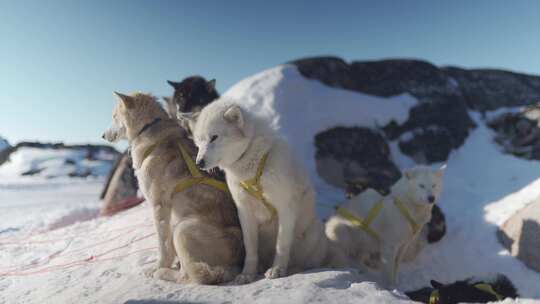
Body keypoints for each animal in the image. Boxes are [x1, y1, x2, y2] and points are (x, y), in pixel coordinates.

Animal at [100, 92, 243, 284]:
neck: (148, 129)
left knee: (189, 275)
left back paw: (162, 273)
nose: (102, 135)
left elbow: (163, 245)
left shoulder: (159, 207)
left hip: (181, 229)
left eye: (114, 116)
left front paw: (159, 266)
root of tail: (236, 262)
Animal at [184, 98, 332, 284]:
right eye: (199, 142)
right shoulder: (244, 212)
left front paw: (277, 270)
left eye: (214, 137)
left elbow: (282, 245)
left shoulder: (285, 208)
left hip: (310, 235)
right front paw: (247, 274)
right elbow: (250, 249)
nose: (199, 163)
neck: (252, 164)